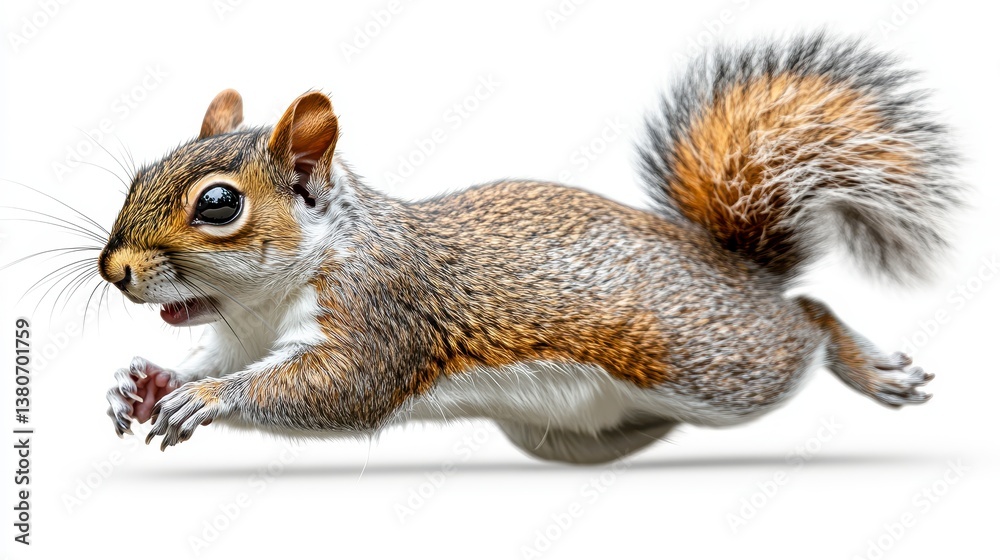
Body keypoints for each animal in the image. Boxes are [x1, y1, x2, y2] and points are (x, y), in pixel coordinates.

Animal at [101, 34, 960, 464]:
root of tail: (732, 265)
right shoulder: (240, 334)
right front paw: (142, 383)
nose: (114, 270)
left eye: (219, 204)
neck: (266, 300)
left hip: (717, 364)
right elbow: (210, 358)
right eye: (140, 174)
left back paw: (872, 368)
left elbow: (337, 386)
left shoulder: (384, 310)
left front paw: (208, 399)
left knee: (807, 320)